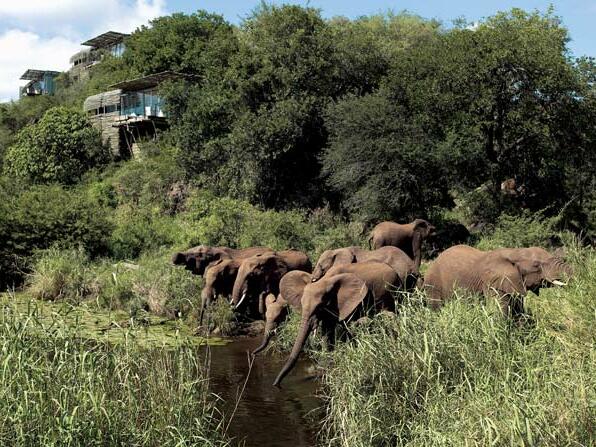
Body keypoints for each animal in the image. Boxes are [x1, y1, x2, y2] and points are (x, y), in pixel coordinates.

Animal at [272, 262, 402, 388]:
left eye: (319, 306)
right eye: (302, 304)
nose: (276, 384)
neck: (324, 281)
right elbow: (327, 332)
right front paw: (325, 364)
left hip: (389, 291)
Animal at [424, 245, 572, 318]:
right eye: (536, 265)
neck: (514, 252)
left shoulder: (514, 282)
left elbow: (519, 311)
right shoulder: (492, 283)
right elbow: (499, 313)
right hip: (433, 284)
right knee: (435, 308)